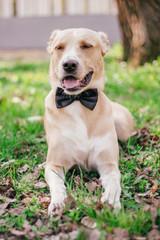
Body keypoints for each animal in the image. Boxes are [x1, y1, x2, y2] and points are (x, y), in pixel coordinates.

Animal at [44, 28, 133, 216]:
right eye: (59, 47)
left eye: (86, 46)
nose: (69, 64)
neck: (78, 101)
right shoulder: (54, 165)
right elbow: (57, 184)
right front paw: (58, 201)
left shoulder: (108, 164)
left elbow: (115, 180)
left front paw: (111, 200)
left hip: (122, 128)